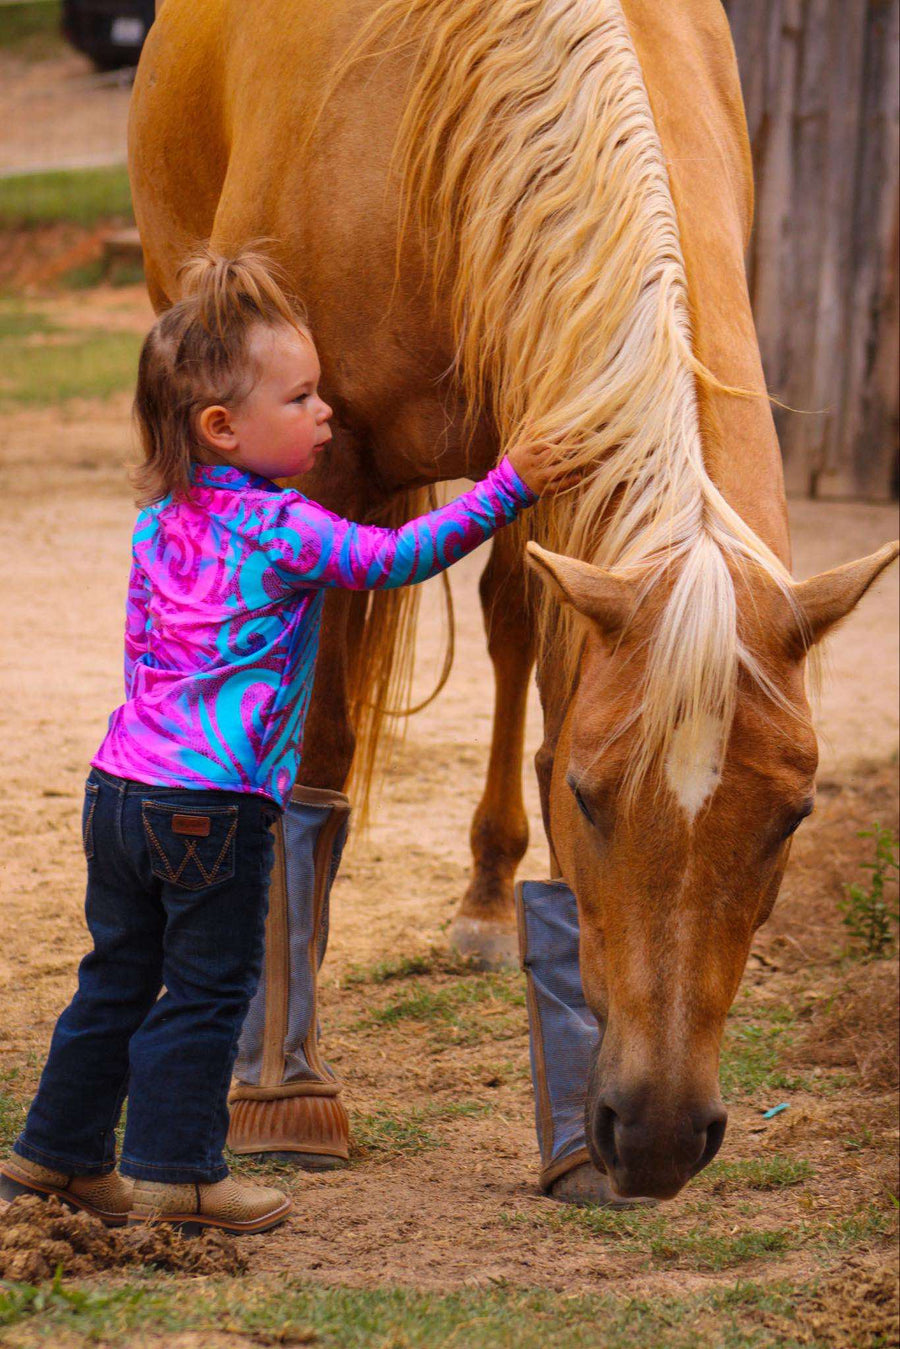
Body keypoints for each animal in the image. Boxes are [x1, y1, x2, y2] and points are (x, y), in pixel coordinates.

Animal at [130, 0, 895, 1203]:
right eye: (590, 796)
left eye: (796, 815)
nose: (661, 1132)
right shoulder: (318, 472)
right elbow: (314, 756)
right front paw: (284, 1094)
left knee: (501, 627)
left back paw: (487, 896)